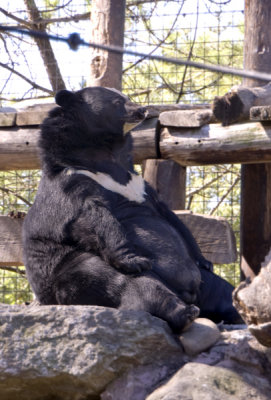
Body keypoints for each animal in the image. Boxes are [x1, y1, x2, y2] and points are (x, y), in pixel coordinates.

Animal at [22, 86, 242, 332]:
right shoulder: (71, 185)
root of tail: (190, 294)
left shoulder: (140, 186)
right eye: (117, 102)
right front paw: (133, 260)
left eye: (127, 97)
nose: (142, 110)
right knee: (132, 283)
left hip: (204, 283)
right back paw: (183, 312)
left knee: (223, 290)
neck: (105, 154)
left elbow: (172, 217)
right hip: (70, 266)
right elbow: (93, 216)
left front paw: (205, 260)